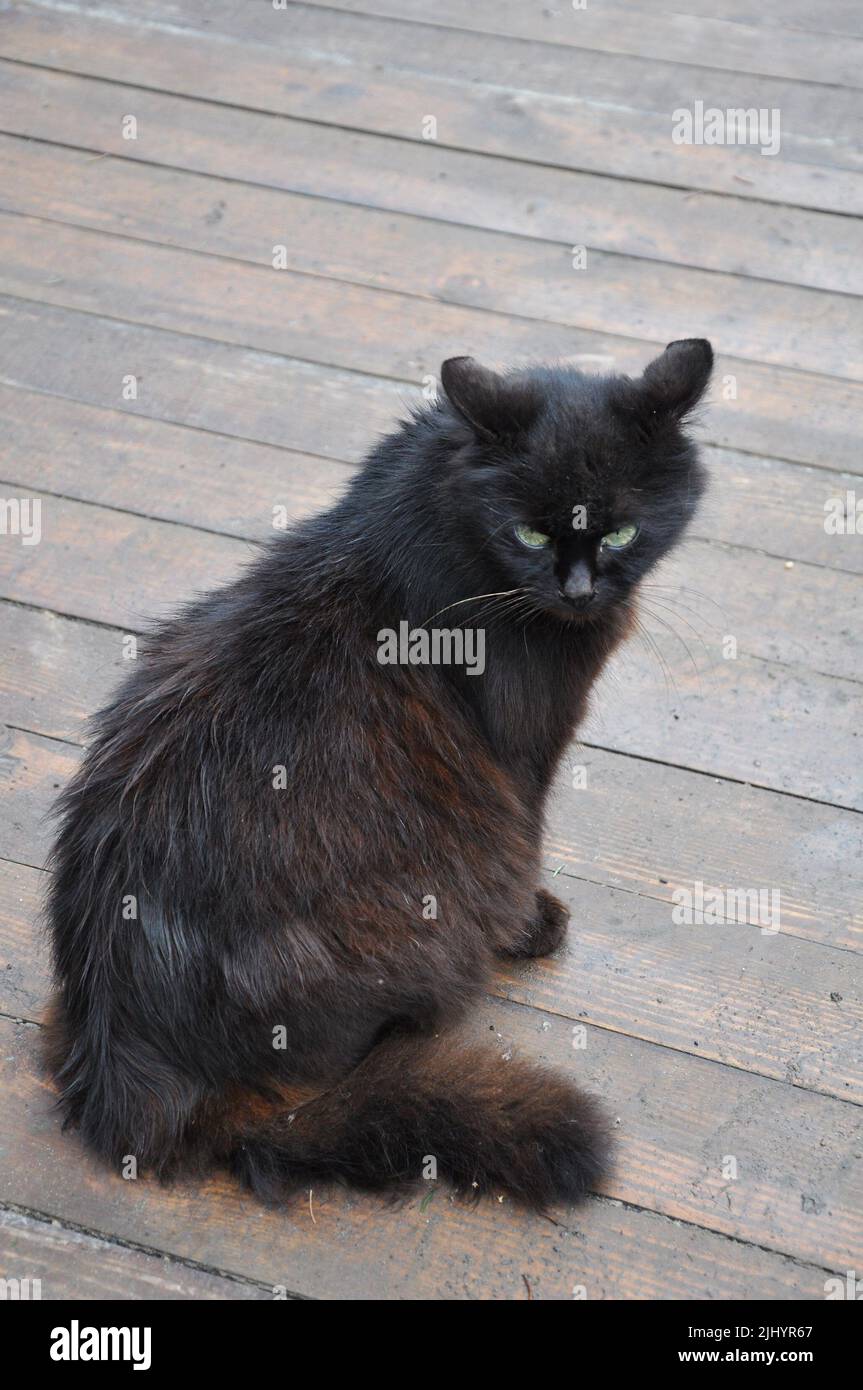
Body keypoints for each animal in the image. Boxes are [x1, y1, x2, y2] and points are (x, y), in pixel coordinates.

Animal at [43, 336, 711, 1206]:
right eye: (530, 536)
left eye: (622, 530)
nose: (577, 588)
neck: (446, 506)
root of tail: (125, 1062)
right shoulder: (523, 755)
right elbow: (529, 834)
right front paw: (531, 924)